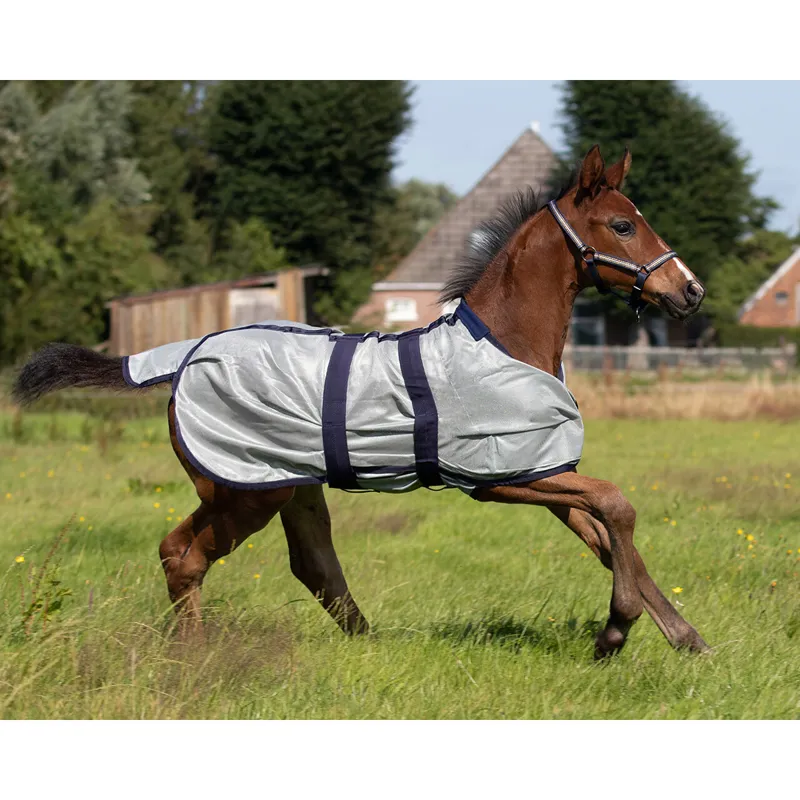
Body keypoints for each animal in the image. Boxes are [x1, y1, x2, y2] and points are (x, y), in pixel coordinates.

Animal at [13, 145, 709, 659]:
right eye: (622, 225)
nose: (690, 291)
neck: (507, 343)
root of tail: (180, 356)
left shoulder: (546, 469)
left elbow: (608, 538)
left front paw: (685, 638)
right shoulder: (501, 479)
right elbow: (617, 507)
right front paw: (615, 631)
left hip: (290, 487)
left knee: (311, 563)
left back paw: (369, 644)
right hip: (242, 493)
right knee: (183, 555)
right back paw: (195, 654)